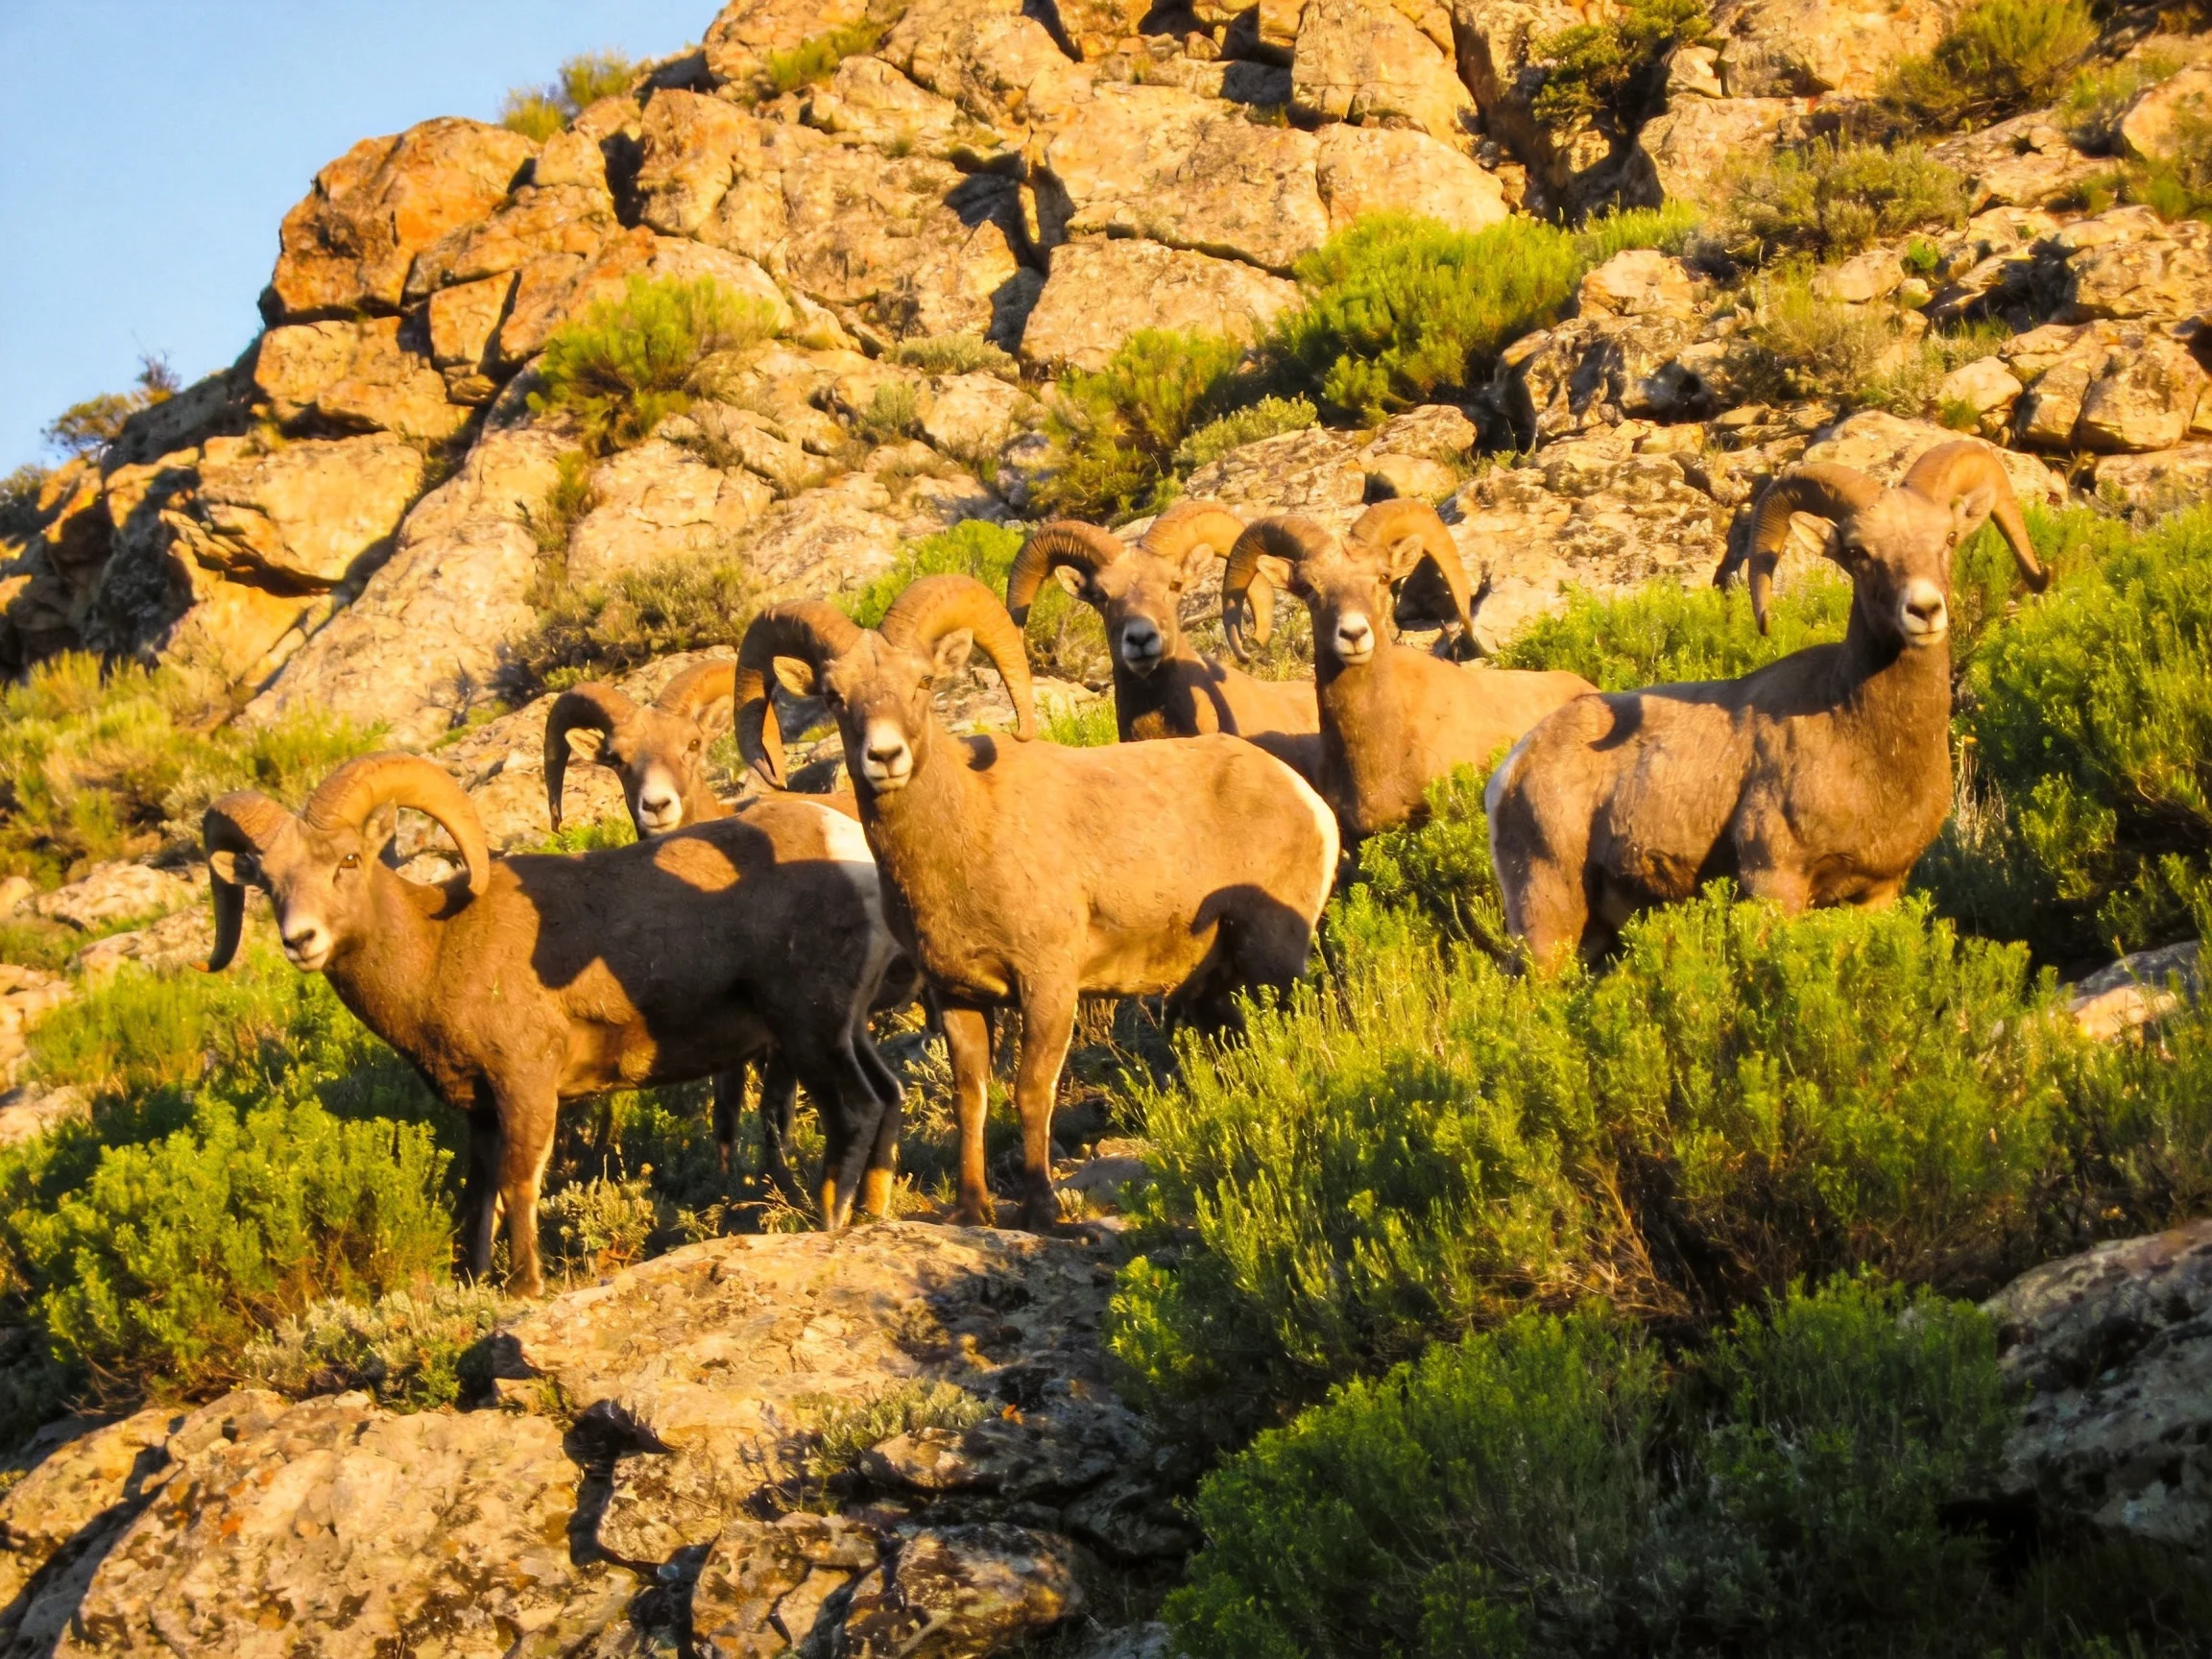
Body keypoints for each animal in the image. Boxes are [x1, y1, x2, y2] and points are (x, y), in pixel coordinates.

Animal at [201, 753, 903, 1294]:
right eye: (268, 881)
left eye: (348, 859)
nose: (301, 940)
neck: (438, 947)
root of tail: (846, 849)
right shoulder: (481, 1110)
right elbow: (480, 1193)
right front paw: (475, 1279)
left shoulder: (526, 1085)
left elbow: (518, 1181)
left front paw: (525, 1285)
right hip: (844, 1032)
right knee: (889, 1096)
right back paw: (873, 1216)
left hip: (810, 1032)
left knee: (857, 1109)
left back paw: (829, 1222)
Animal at [734, 573, 1340, 1231]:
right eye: (835, 696)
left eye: (922, 682)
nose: (885, 757)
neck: (966, 836)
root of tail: (1305, 798)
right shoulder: (960, 996)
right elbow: (971, 1097)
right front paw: (972, 1210)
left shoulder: (1048, 985)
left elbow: (1030, 1090)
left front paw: (1041, 1208)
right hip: (1212, 986)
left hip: (1273, 961)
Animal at [1484, 440, 2050, 970]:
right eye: (1859, 552)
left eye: (1949, 539)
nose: (1925, 610)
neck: (1868, 746)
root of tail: (1511, 769)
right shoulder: (1776, 883)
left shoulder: (1879, 891)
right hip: (1547, 917)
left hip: (1595, 935)